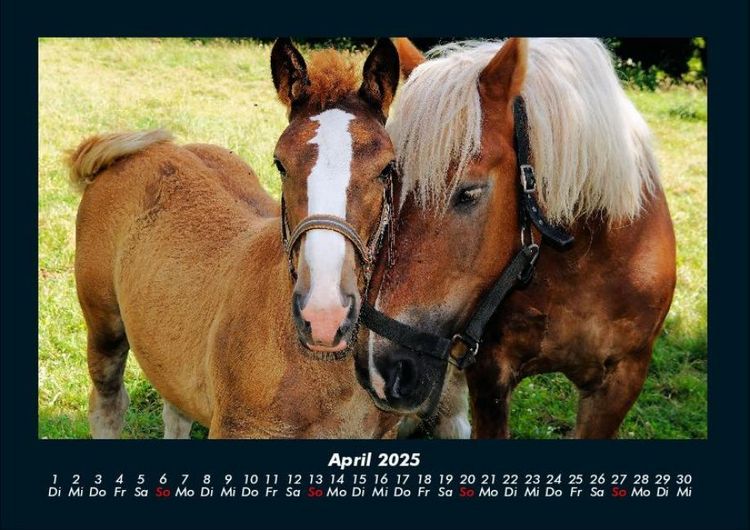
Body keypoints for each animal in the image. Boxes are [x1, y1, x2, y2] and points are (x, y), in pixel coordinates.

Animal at [70, 39, 409, 438]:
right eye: (280, 163)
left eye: (387, 168)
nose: (324, 315)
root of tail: (135, 152)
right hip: (103, 324)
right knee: (107, 403)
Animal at [355, 38, 676, 439]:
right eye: (388, 182)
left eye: (469, 193)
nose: (377, 369)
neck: (580, 261)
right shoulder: (490, 374)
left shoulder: (622, 380)